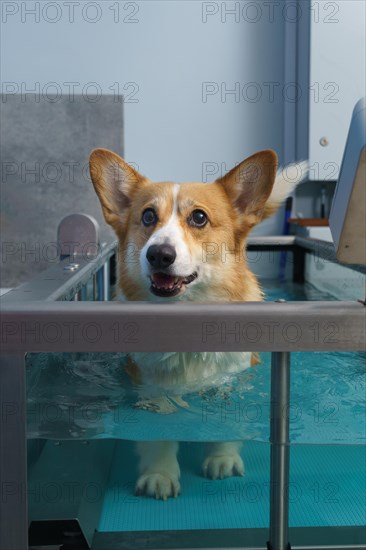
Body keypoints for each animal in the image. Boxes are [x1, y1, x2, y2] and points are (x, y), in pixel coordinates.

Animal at [90, 149, 308, 502]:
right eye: (148, 216)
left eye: (199, 218)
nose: (159, 254)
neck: (184, 319)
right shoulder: (151, 391)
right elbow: (160, 433)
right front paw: (160, 475)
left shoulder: (229, 384)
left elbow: (225, 425)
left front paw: (223, 459)